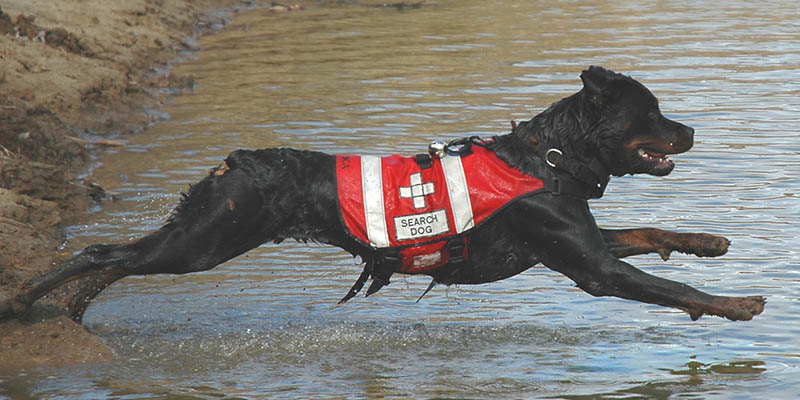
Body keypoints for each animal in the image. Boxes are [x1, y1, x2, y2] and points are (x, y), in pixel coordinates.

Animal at [7, 65, 768, 322]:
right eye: (654, 114)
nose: (692, 129)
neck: (551, 158)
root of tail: (237, 162)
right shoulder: (593, 270)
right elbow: (670, 288)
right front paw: (737, 306)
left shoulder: (579, 244)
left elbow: (651, 232)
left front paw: (709, 241)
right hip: (206, 239)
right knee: (105, 253)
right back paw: (27, 300)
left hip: (200, 233)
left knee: (118, 257)